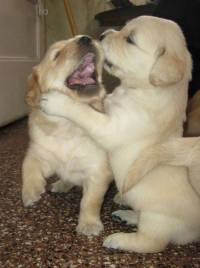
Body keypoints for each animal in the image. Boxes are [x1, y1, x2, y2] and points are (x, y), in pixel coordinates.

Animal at [22, 35, 112, 237]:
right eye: (57, 54)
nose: (86, 38)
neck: (67, 126)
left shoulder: (98, 171)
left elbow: (90, 201)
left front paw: (89, 223)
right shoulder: (39, 153)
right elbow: (27, 166)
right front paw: (30, 191)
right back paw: (61, 184)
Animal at [39, 15, 200, 252]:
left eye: (130, 39)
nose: (102, 35)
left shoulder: (112, 128)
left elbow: (84, 113)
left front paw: (58, 101)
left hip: (157, 218)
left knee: (152, 241)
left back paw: (118, 239)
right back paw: (127, 214)